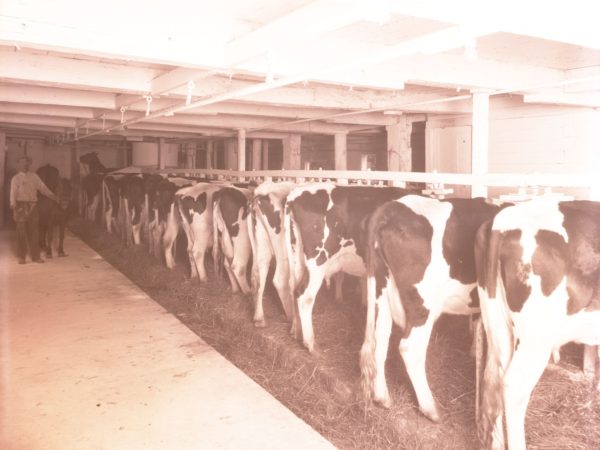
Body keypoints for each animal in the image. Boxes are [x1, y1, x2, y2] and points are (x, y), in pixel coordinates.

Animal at [284, 182, 410, 348]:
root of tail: (295, 194)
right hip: (318, 261)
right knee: (305, 297)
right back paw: (311, 344)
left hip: (297, 258)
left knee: (293, 288)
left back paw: (295, 331)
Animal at [358, 195, 500, 424]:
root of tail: (391, 207)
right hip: (422, 304)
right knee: (410, 347)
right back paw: (430, 409)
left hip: (381, 292)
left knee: (380, 339)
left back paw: (382, 397)